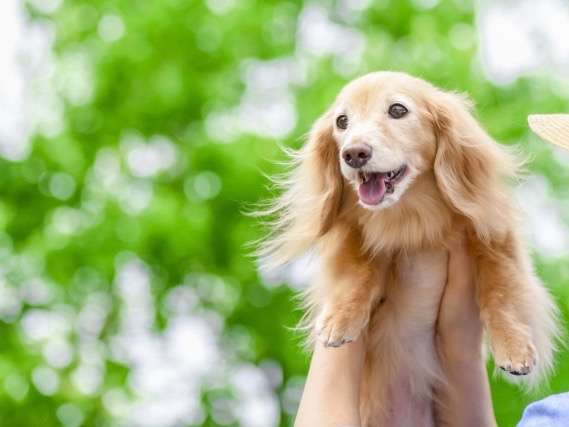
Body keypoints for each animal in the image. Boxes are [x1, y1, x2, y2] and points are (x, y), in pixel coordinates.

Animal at [258, 72, 560, 426]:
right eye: (342, 121)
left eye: (398, 110)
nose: (354, 154)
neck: (409, 219)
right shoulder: (352, 232)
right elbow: (357, 269)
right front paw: (340, 319)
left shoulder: (494, 237)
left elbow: (500, 290)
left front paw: (514, 346)